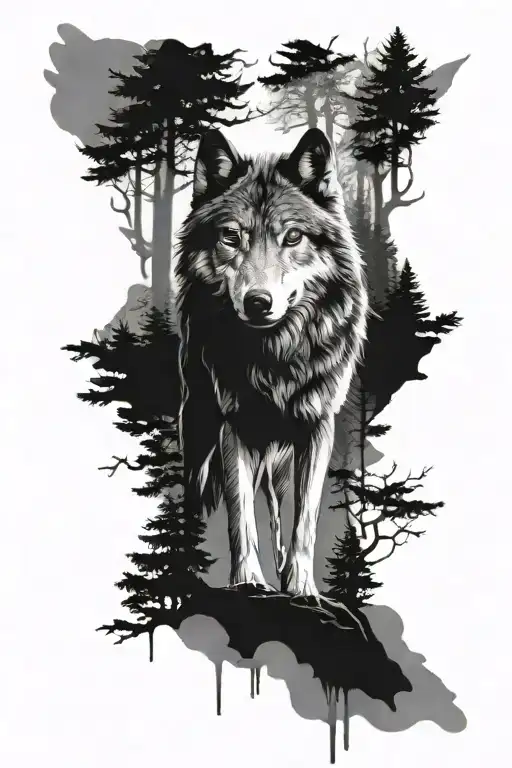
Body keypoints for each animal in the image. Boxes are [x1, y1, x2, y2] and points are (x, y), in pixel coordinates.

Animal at [175, 127, 368, 597]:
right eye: (231, 236)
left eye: (293, 237)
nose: (257, 302)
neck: (275, 358)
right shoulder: (234, 426)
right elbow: (241, 514)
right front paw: (248, 581)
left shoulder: (318, 428)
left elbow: (305, 520)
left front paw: (301, 588)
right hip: (199, 425)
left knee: (280, 511)